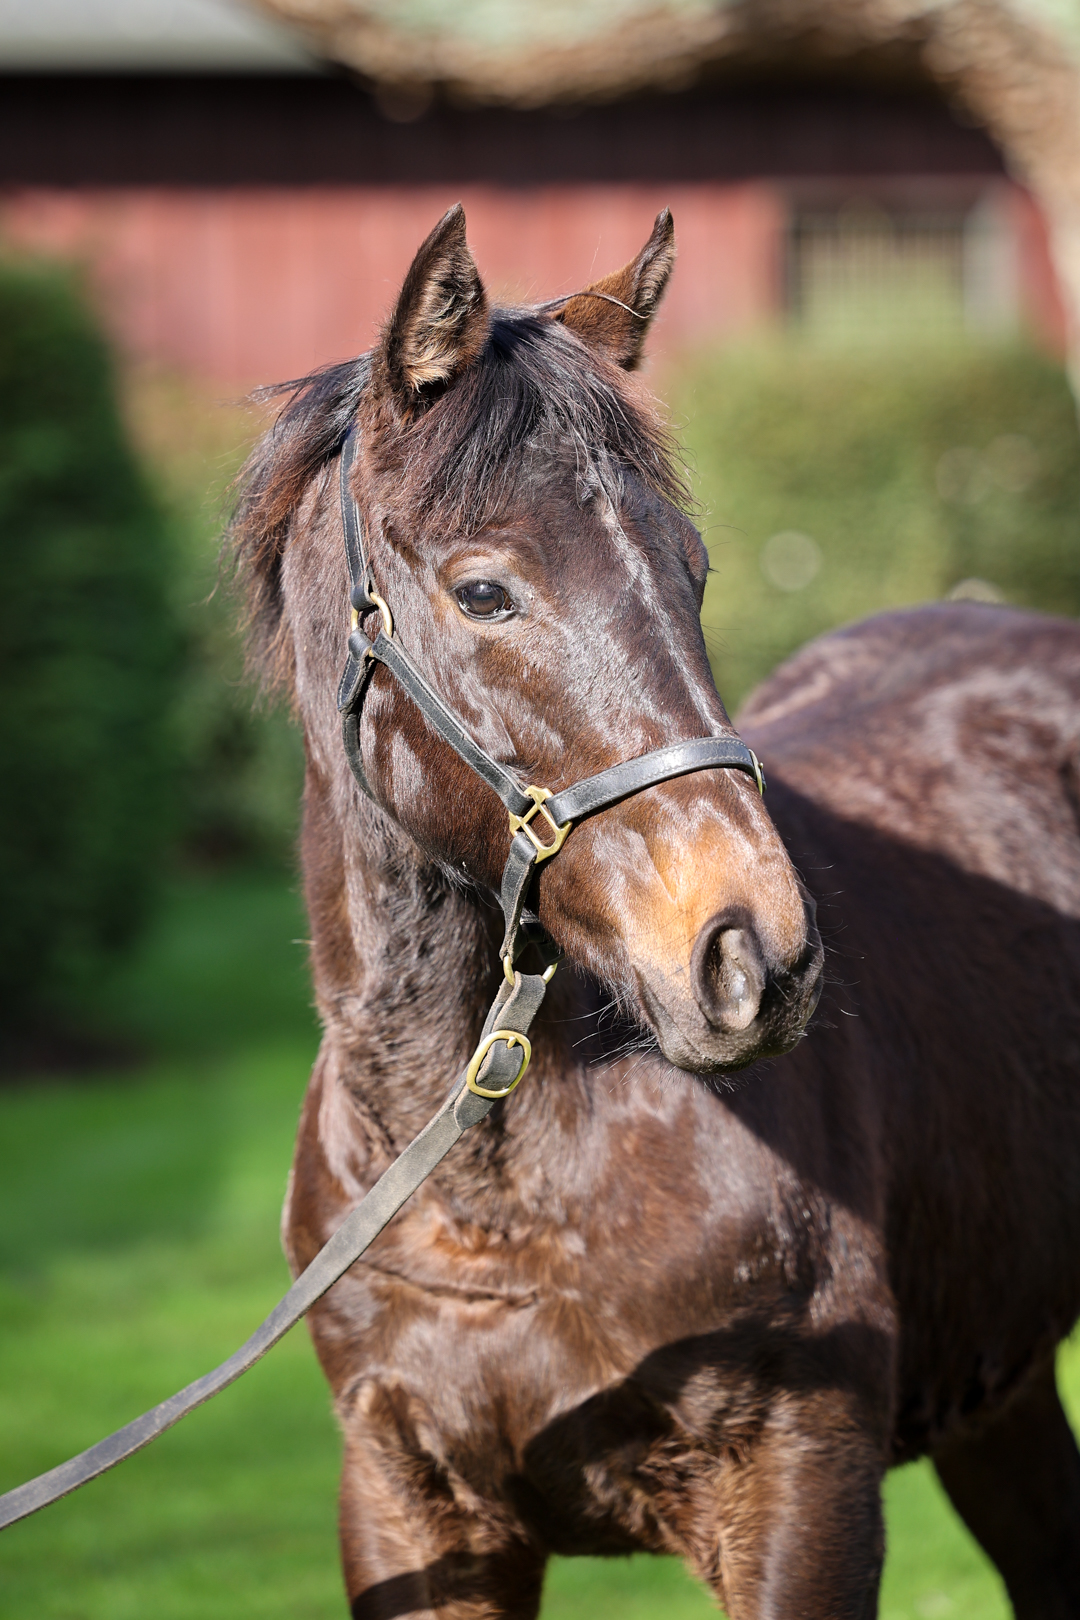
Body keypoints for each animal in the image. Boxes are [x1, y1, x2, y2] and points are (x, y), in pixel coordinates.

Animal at [229, 206, 1080, 1618]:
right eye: (483, 590)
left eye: (695, 571)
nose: (753, 956)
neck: (497, 1188)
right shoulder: (408, 1507)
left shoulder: (799, 1484)